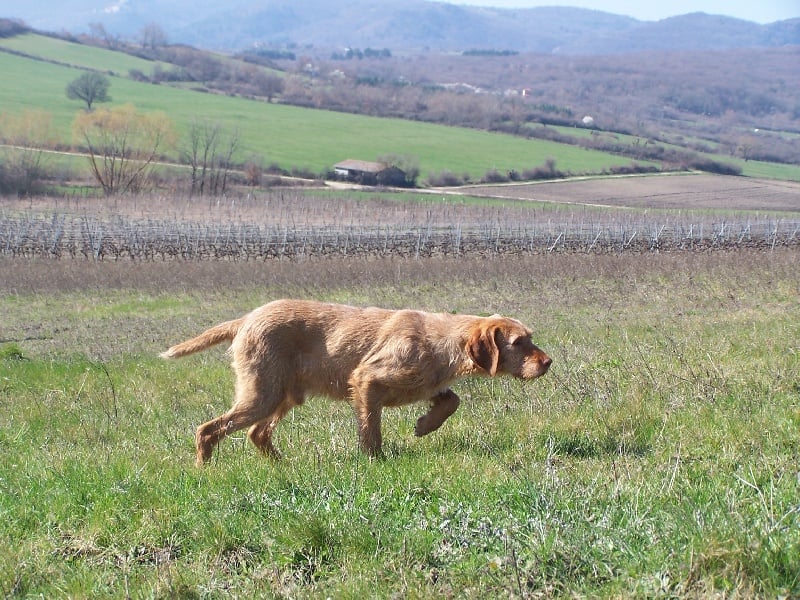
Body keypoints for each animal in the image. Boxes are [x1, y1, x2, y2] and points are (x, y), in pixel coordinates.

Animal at [162, 298, 552, 464]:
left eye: (531, 338)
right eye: (519, 343)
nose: (548, 362)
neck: (441, 341)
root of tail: (245, 319)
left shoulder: (428, 384)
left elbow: (451, 400)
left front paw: (425, 425)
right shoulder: (366, 380)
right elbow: (371, 431)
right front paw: (374, 461)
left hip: (283, 395)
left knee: (257, 434)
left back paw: (283, 467)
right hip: (262, 393)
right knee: (208, 429)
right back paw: (205, 471)